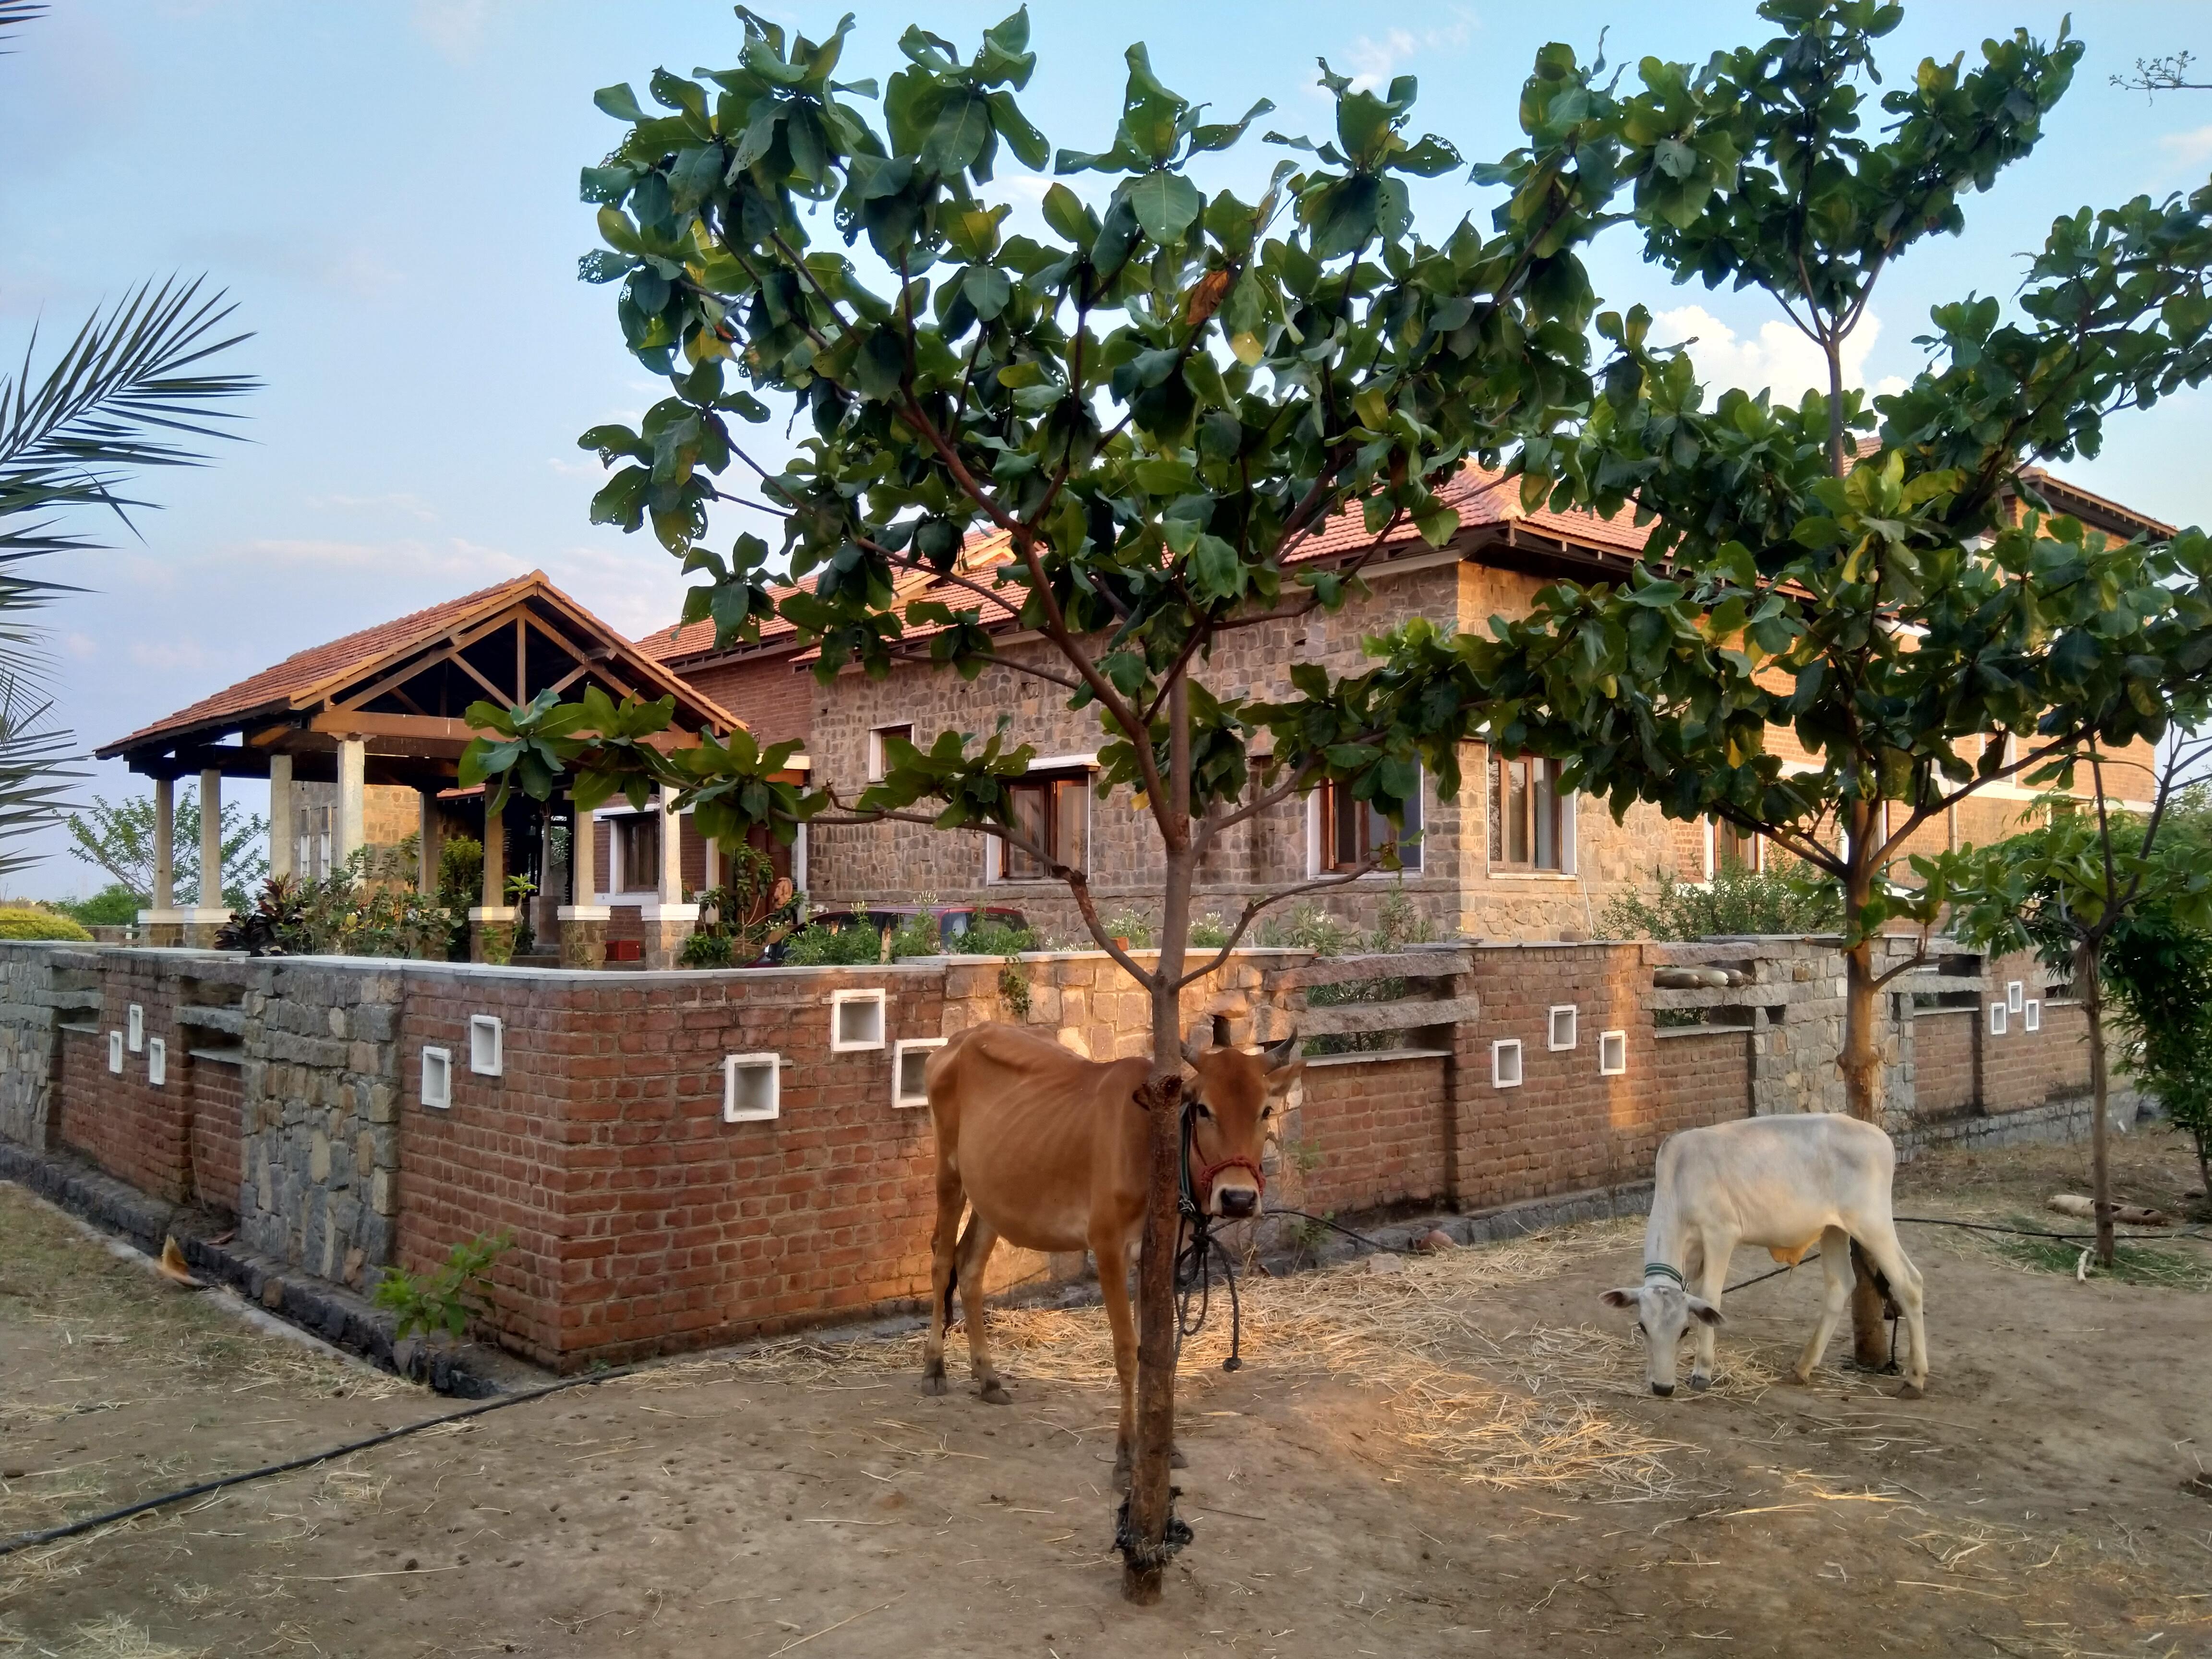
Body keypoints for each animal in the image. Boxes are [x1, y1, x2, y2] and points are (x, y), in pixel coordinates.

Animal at [915, 1022, 1292, 1486]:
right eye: (1203, 1109)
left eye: (1266, 1111)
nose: (1239, 1198)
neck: (1156, 1147)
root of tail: (960, 1039)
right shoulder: (1109, 1246)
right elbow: (1127, 1350)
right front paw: (1127, 1455)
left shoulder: (1163, 1256)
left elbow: (1157, 1353)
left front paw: (1164, 1447)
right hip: (949, 1174)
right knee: (940, 1260)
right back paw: (934, 1369)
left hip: (992, 1193)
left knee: (969, 1270)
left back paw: (987, 1379)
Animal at [1601, 1119, 1929, 1407]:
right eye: (1643, 1327)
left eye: (1684, 1331)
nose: (1662, 1387)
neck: (1679, 1181)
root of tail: (1881, 1137)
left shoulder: (1721, 1234)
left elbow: (1710, 1299)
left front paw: (1702, 1371)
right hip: (1834, 1229)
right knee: (1840, 1284)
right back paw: (1802, 1368)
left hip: (1872, 1223)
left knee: (1909, 1283)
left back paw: (1914, 1379)